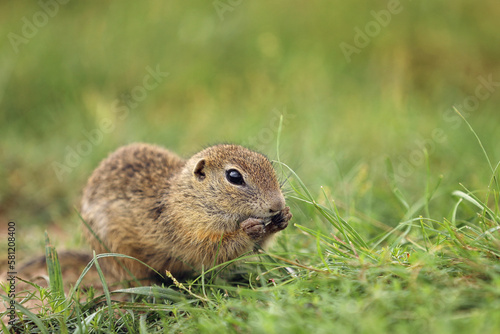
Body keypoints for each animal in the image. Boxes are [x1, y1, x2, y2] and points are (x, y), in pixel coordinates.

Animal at [81, 143, 292, 282]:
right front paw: (247, 230)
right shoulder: (186, 232)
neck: (190, 199)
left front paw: (283, 218)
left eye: (267, 164)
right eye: (234, 176)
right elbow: (213, 251)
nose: (277, 204)